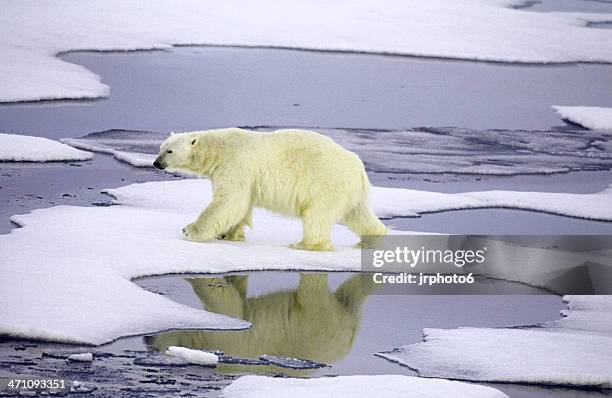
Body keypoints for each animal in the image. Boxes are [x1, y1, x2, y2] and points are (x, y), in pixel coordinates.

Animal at [153, 129, 388, 250]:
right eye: (160, 147)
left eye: (170, 151)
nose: (156, 163)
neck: (218, 149)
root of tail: (358, 166)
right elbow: (241, 205)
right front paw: (229, 235)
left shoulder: (236, 163)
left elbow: (230, 200)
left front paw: (190, 231)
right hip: (352, 191)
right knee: (360, 214)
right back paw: (374, 239)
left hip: (326, 181)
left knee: (317, 215)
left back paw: (303, 244)